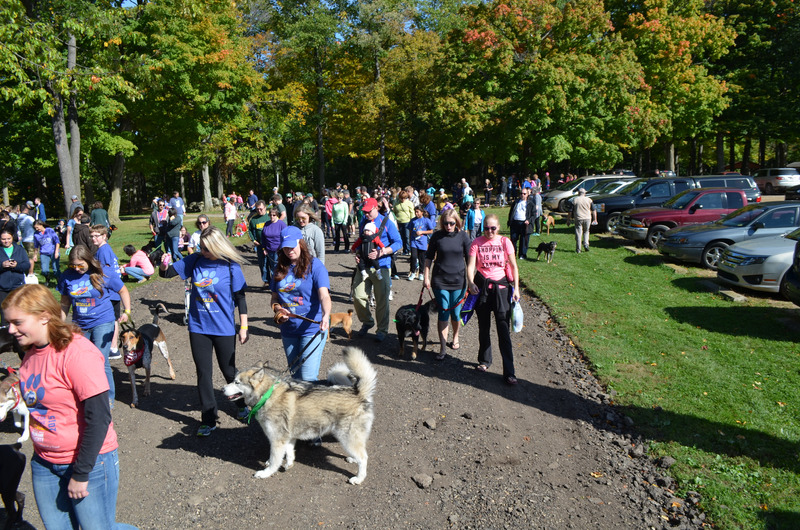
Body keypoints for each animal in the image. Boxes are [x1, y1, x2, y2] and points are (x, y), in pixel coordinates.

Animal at [223, 346, 376, 482]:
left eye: (236, 382)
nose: (223, 388)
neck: (267, 395)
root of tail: (358, 393)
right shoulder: (288, 437)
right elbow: (289, 452)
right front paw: (289, 464)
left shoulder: (277, 440)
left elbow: (274, 461)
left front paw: (266, 473)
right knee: (361, 452)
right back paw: (353, 459)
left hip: (346, 437)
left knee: (364, 458)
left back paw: (359, 478)